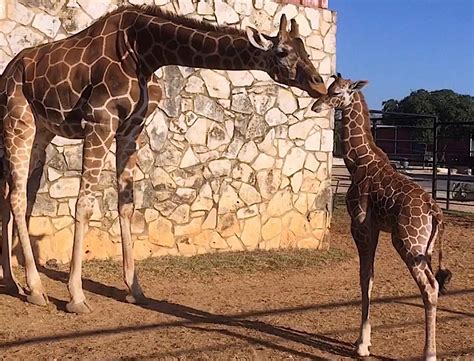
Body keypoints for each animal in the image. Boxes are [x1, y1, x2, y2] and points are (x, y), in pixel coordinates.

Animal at [0, 5, 328, 314]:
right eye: (283, 51)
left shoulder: (131, 129)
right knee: (17, 196)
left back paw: (15, 282)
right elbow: (84, 204)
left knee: (14, 196)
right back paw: (36, 290)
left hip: (42, 131)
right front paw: (77, 297)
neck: (144, 52)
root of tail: (6, 74)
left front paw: (134, 289)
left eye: (305, 49)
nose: (319, 84)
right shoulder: (100, 121)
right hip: (19, 121)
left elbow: (127, 206)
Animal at [312, 74, 450, 358]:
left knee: (430, 287)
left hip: (408, 243)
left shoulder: (361, 226)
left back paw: (429, 354)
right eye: (329, 88)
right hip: (424, 249)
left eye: (337, 93)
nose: (316, 106)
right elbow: (370, 277)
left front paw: (361, 345)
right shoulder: (373, 228)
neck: (356, 162)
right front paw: (363, 340)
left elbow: (365, 278)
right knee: (434, 284)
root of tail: (435, 210)